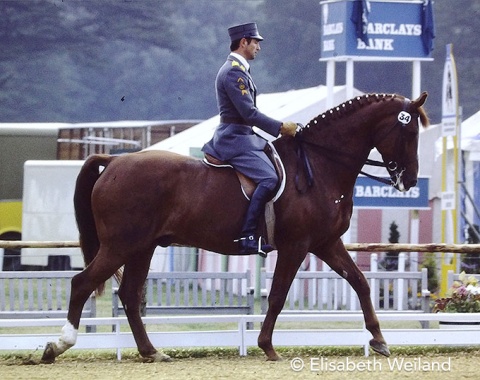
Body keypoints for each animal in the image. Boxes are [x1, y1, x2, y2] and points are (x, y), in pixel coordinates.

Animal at [43, 90, 430, 364]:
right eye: (410, 131)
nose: (410, 180)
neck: (321, 165)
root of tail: (113, 161)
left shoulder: (326, 243)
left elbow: (360, 282)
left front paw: (379, 340)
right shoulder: (297, 245)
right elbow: (277, 295)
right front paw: (268, 347)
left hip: (142, 247)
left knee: (128, 295)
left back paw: (151, 351)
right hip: (120, 245)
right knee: (82, 283)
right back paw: (58, 345)